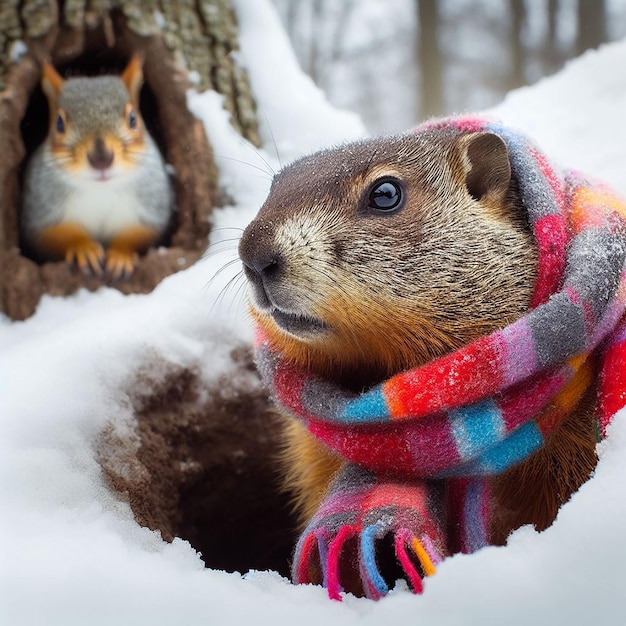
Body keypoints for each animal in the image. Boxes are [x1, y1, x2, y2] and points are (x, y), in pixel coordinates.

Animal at [21, 56, 173, 280]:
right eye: (59, 123)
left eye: (133, 119)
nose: (101, 158)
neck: (100, 189)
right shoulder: (40, 213)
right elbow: (56, 235)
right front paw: (83, 248)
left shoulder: (152, 209)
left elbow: (137, 234)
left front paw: (121, 254)